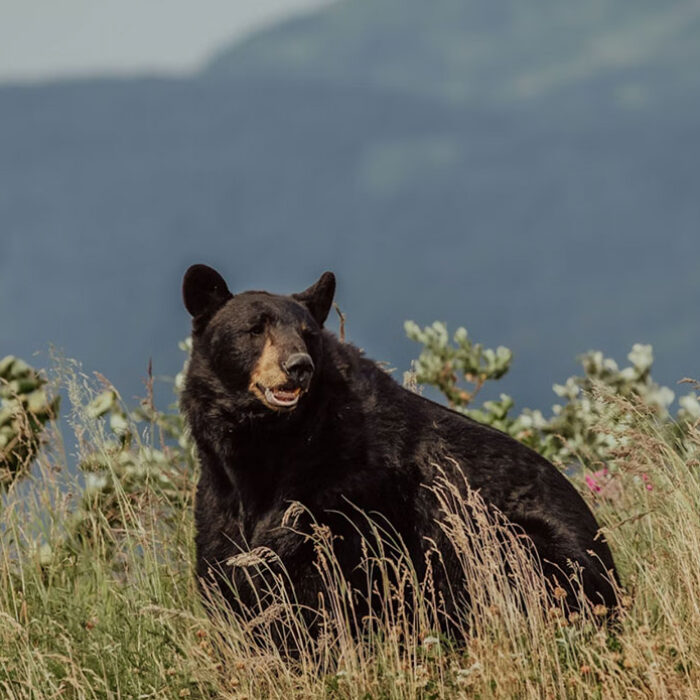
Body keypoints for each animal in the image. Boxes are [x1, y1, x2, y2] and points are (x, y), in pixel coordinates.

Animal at [180, 264, 619, 642]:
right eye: (255, 329)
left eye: (308, 335)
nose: (298, 366)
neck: (268, 447)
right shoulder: (220, 497)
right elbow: (228, 570)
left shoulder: (347, 493)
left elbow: (325, 578)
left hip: (519, 542)